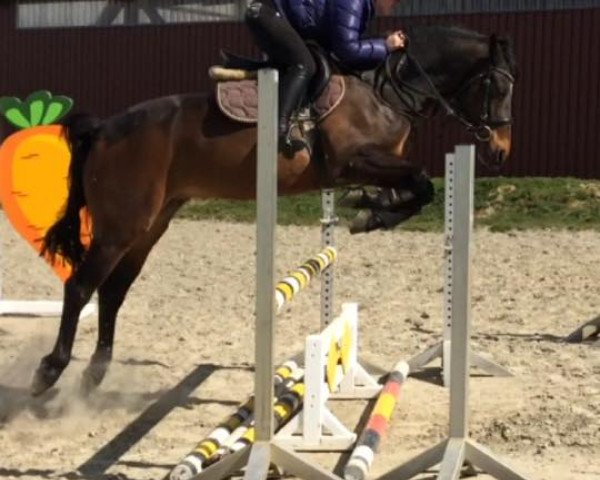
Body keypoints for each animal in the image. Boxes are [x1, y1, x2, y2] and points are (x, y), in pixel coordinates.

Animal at [34, 24, 516, 396]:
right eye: (497, 86)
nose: (500, 150)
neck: (386, 93)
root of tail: (104, 128)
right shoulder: (350, 162)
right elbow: (420, 182)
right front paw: (369, 212)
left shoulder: (373, 165)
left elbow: (417, 188)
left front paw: (371, 208)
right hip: (121, 227)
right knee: (81, 286)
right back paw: (50, 371)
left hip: (151, 225)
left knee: (113, 292)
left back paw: (95, 373)